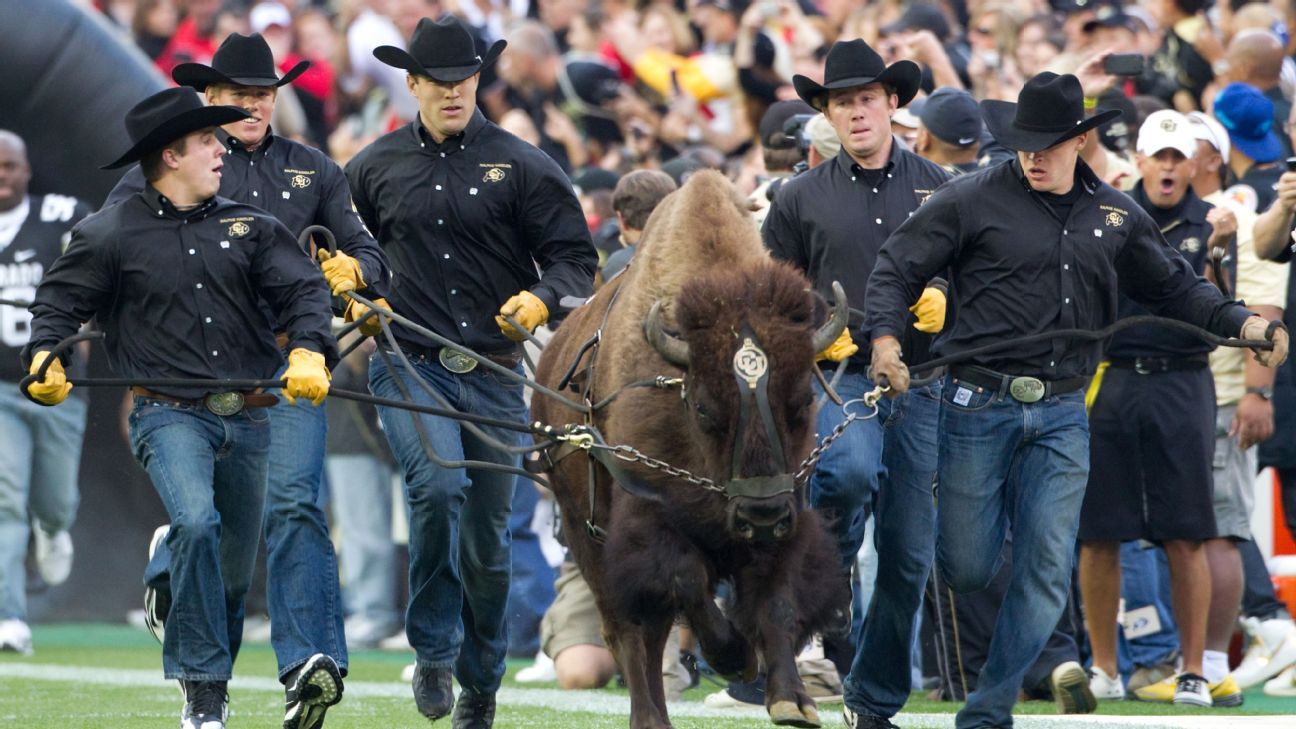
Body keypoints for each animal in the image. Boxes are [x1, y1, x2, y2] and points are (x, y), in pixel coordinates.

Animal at [528, 171, 844, 726]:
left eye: (804, 399)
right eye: (703, 408)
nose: (760, 514)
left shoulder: (790, 511)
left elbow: (777, 600)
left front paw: (792, 700)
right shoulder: (648, 524)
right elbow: (687, 582)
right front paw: (737, 657)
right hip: (583, 533)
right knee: (628, 633)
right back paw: (650, 716)